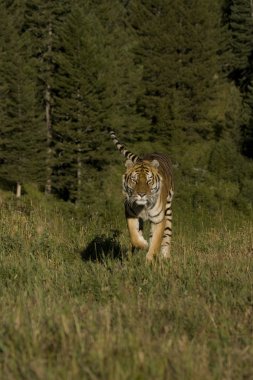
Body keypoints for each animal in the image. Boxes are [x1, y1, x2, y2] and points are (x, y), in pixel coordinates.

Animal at [108, 130, 174, 262]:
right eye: (134, 180)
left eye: (149, 180)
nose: (142, 194)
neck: (144, 207)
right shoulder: (130, 213)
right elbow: (134, 234)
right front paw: (142, 244)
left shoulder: (159, 219)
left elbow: (156, 241)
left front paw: (149, 261)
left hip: (168, 210)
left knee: (167, 235)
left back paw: (165, 256)